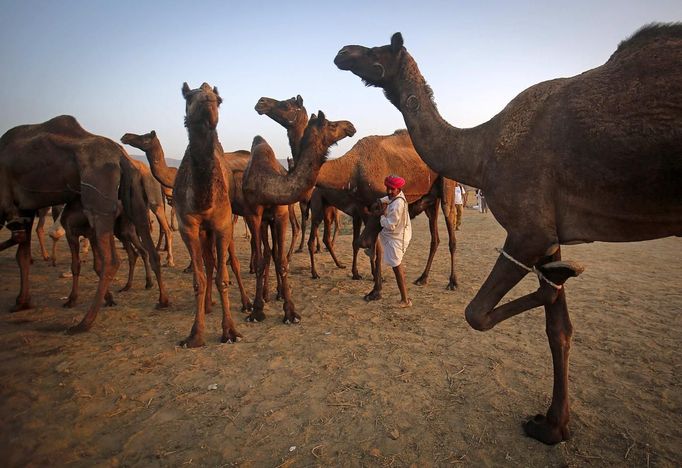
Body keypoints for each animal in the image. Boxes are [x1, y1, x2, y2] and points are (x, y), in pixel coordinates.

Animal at [240, 111, 356, 324]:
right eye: (332, 125)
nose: (351, 126)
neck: (267, 184)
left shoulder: (281, 214)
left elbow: (282, 261)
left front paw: (290, 312)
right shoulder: (253, 215)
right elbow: (261, 261)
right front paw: (256, 311)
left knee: (274, 253)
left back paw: (277, 293)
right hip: (265, 221)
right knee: (268, 253)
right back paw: (266, 295)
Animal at [334, 24, 680, 442]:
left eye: (375, 50)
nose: (342, 52)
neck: (482, 150)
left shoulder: (528, 231)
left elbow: (476, 314)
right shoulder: (548, 234)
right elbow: (557, 329)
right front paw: (553, 426)